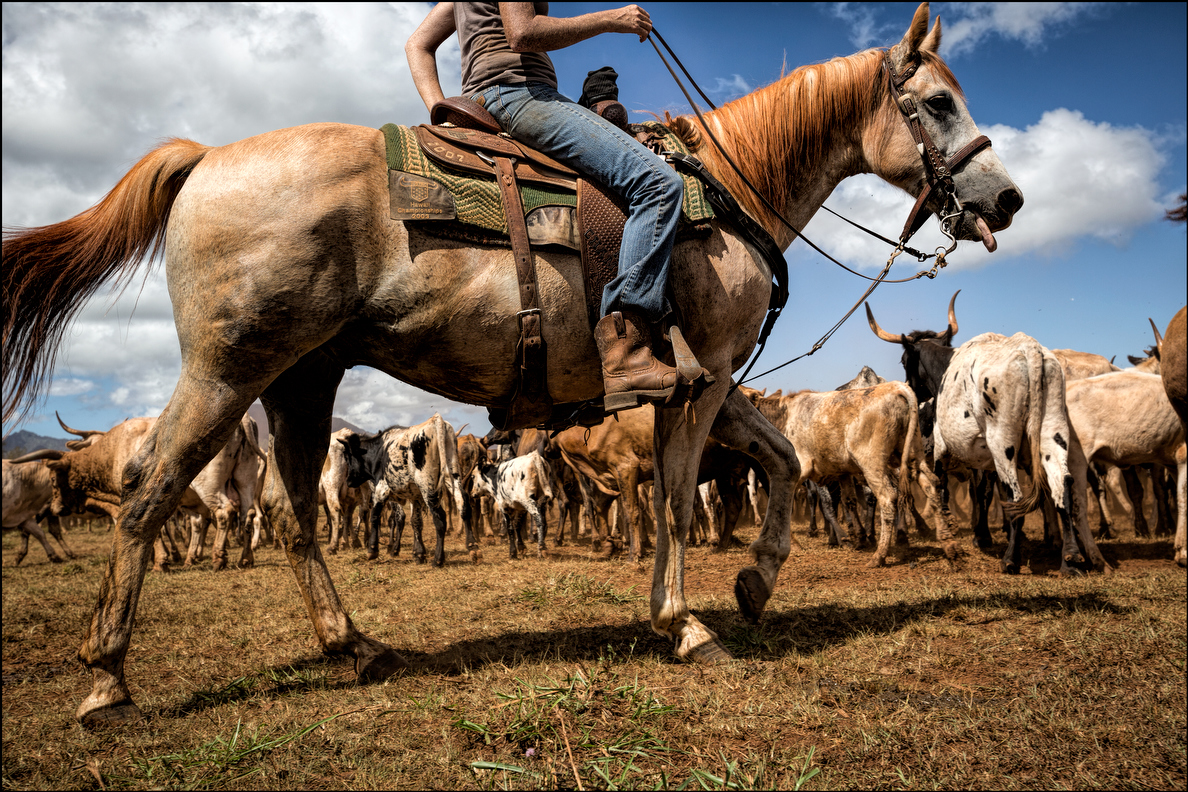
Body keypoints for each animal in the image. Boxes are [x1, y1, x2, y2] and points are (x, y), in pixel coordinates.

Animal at [0, 3, 1021, 726]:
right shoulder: (697, 386)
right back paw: (107, 681)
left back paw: (354, 647)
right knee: (147, 495)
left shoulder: (716, 380)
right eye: (938, 103)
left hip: (300, 379)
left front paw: (756, 584)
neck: (725, 194)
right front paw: (683, 621)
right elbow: (681, 494)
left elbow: (782, 460)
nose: (1008, 198)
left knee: (292, 517)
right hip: (227, 371)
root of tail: (207, 157)